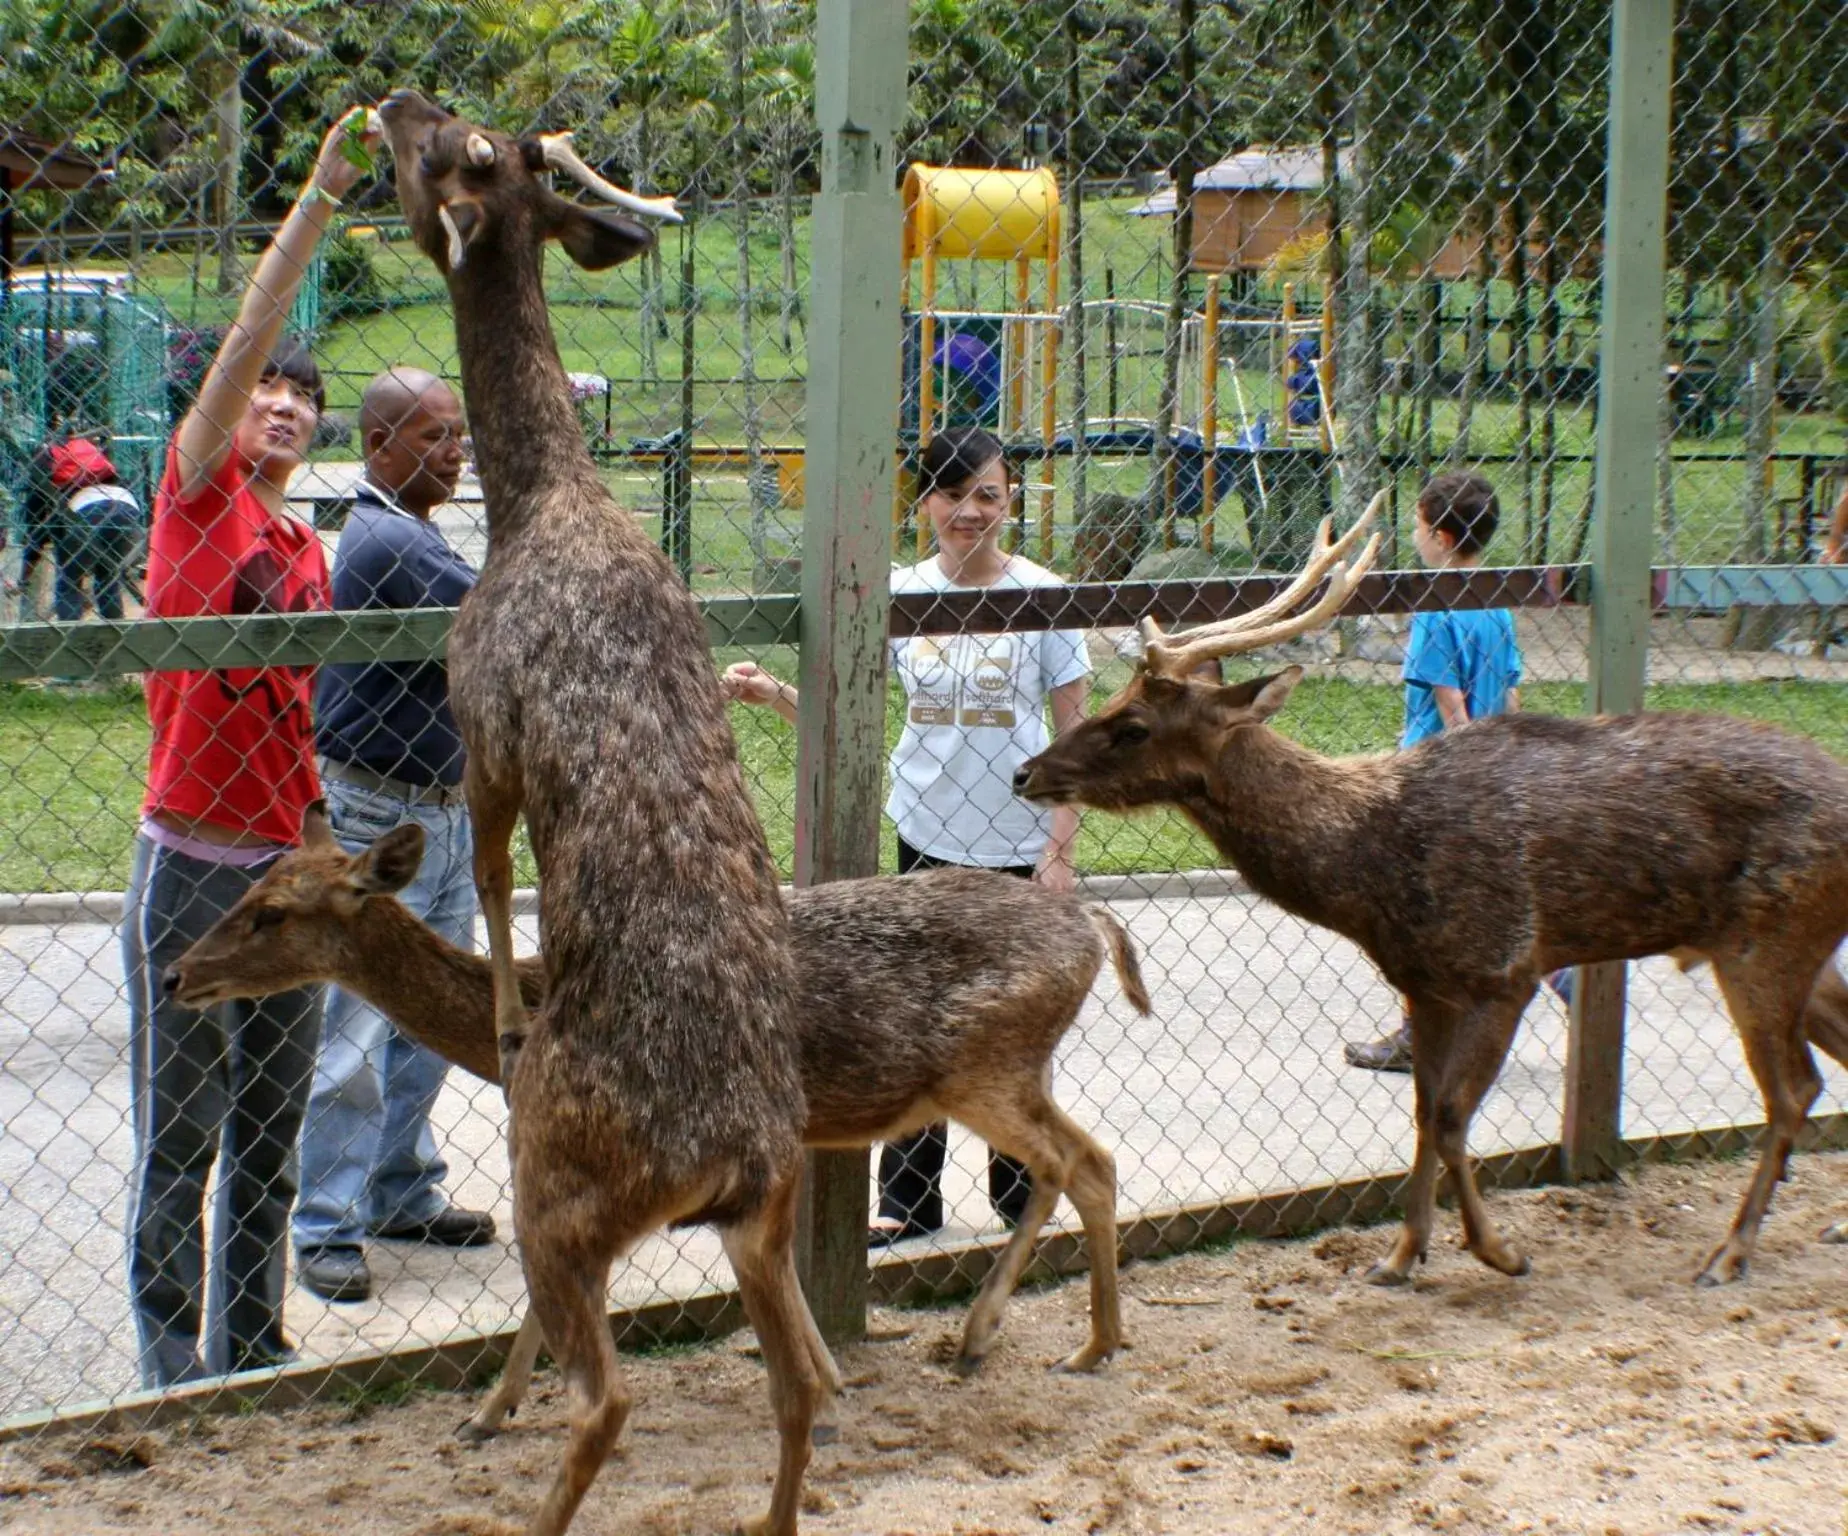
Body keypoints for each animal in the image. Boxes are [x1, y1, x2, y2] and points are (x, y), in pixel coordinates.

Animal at [173, 816, 1145, 1441]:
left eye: (274, 912)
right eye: (253, 885)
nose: (181, 972)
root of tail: (1092, 922)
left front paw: (488, 1413)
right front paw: (830, 1379)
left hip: (986, 1065)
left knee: (1089, 1162)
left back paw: (1070, 1343)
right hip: (1006, 1070)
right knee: (1073, 1164)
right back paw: (1023, 1339)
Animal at [378, 93, 827, 1536]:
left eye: (447, 156)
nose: (394, 103)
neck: (541, 501)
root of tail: (732, 1150)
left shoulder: (482, 721)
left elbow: (489, 872)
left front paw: (510, 1017)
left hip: (560, 1203)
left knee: (612, 1400)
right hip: (759, 1222)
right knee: (802, 1379)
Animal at [1012, 502, 1848, 1286]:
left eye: (1134, 724)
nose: (1026, 772)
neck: (1370, 877)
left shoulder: (1503, 968)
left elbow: (1448, 1118)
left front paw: (1498, 1251)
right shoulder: (1424, 982)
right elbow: (1420, 1114)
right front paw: (1401, 1255)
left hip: (1766, 943)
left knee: (1792, 1090)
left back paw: (1729, 1252)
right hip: (1797, 948)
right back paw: (1820, 1228)